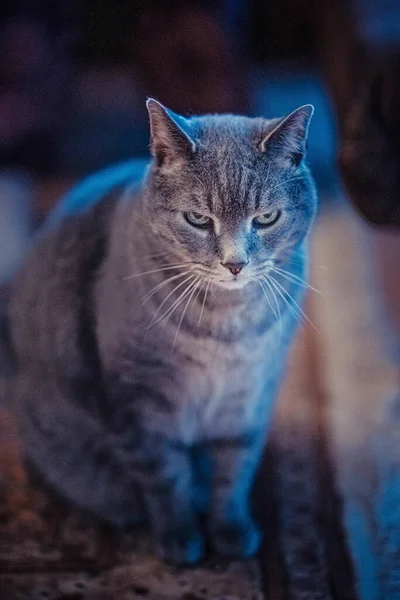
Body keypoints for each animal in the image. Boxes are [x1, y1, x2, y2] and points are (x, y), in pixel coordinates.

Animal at [7, 98, 318, 564]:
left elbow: (234, 469)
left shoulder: (249, 394)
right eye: (198, 219)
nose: (235, 263)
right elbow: (166, 478)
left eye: (266, 217)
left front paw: (230, 531)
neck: (225, 324)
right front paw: (179, 537)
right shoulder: (138, 401)